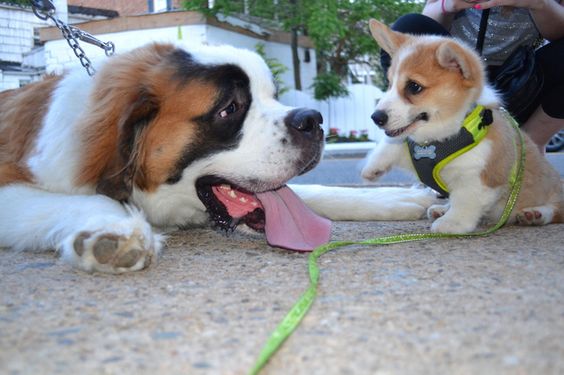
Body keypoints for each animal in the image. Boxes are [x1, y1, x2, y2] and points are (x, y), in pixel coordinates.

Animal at [0, 43, 436, 274]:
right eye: (230, 109)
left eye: (273, 95)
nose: (312, 120)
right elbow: (89, 199)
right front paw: (113, 231)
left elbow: (311, 192)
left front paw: (398, 199)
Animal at [364, 19, 560, 235]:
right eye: (390, 83)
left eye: (414, 87)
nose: (376, 118)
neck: (442, 138)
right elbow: (393, 143)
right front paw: (373, 166)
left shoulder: (477, 177)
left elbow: (465, 201)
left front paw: (452, 223)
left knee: (557, 209)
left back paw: (536, 214)